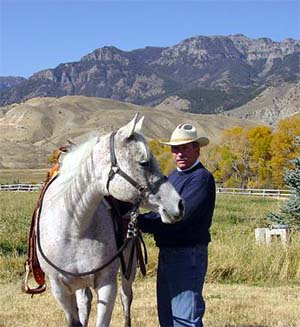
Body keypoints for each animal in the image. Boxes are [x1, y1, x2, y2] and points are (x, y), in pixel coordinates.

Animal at [36, 114, 184, 326]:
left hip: (129, 268)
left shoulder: (107, 284)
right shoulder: (60, 290)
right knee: (85, 301)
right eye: (144, 162)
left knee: (126, 297)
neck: (73, 228)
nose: (179, 204)